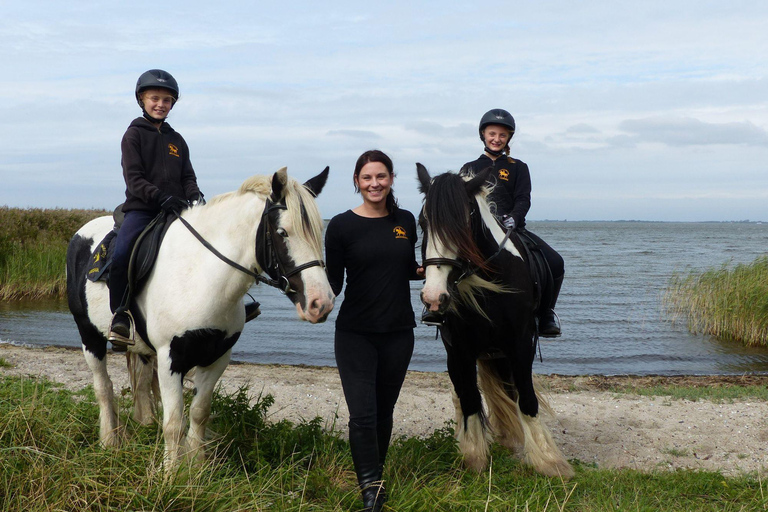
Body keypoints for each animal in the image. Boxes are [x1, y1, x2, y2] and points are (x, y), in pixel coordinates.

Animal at [68, 168, 336, 468]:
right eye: (282, 232)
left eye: (319, 232)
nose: (321, 303)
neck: (201, 275)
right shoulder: (170, 358)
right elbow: (173, 423)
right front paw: (170, 473)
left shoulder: (217, 357)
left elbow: (198, 412)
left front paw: (196, 467)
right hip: (89, 336)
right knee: (104, 387)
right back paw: (109, 442)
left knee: (141, 382)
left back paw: (144, 424)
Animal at [416, 165, 572, 480]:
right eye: (422, 222)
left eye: (463, 223)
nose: (434, 297)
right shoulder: (459, 350)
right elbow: (469, 399)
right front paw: (473, 457)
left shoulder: (521, 345)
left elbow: (526, 398)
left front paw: (548, 461)